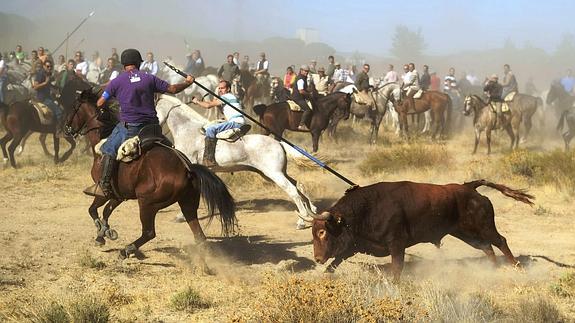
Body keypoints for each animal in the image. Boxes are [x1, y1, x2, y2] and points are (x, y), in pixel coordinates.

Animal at [66, 89, 237, 260]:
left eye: (74, 107)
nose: (67, 129)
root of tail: (188, 169)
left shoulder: (103, 191)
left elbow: (93, 210)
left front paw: (102, 232)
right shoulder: (119, 195)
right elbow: (106, 211)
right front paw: (103, 233)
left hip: (147, 204)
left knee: (149, 232)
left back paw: (127, 250)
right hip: (187, 204)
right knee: (199, 235)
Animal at [156, 94, 320, 230]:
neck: (187, 130)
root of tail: (278, 143)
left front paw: (180, 216)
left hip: (274, 174)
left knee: (293, 191)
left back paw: (302, 220)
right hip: (273, 174)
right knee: (298, 186)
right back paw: (311, 211)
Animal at [310, 180, 536, 280]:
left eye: (323, 232)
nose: (318, 259)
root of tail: (469, 186)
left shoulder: (397, 244)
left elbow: (397, 267)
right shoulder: (356, 246)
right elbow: (337, 261)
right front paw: (325, 273)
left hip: (484, 227)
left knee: (500, 241)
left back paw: (517, 267)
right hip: (465, 233)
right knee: (487, 247)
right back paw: (491, 270)